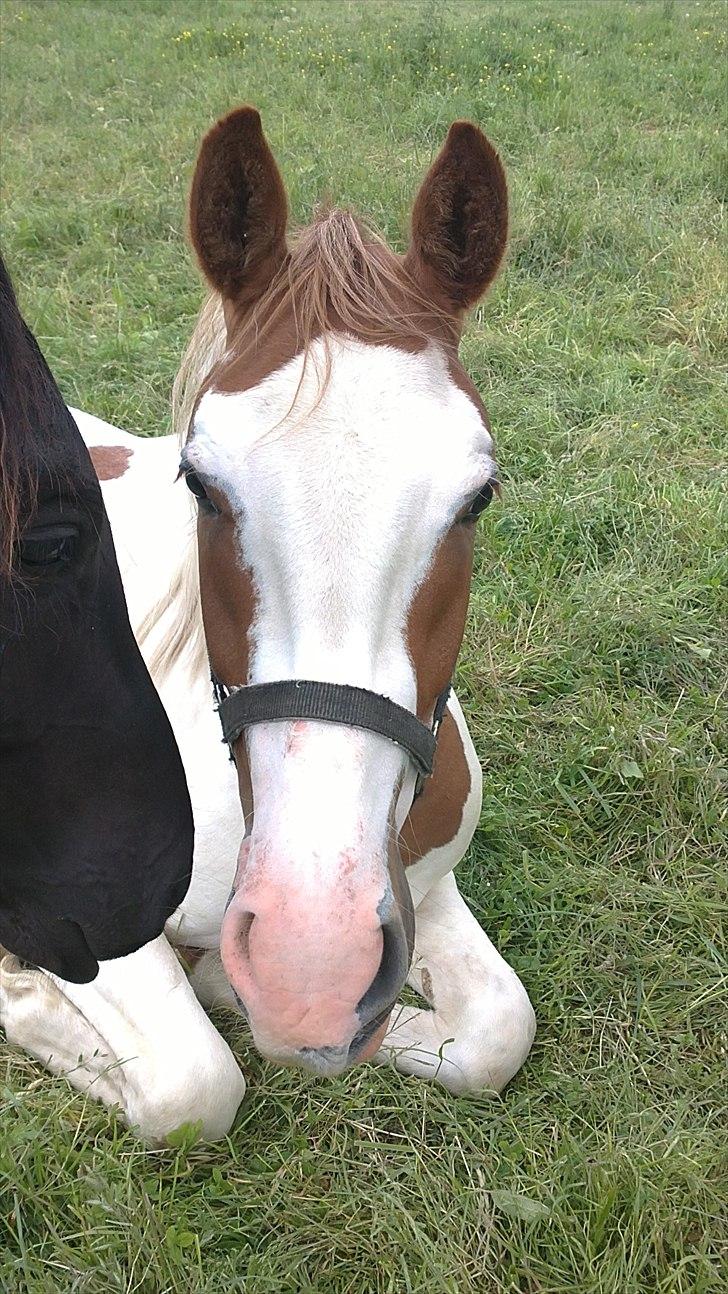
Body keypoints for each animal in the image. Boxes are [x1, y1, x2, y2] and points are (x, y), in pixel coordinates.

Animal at [4, 113, 535, 1133]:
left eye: (478, 497)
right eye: (201, 483)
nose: (309, 961)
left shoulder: (422, 876)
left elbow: (496, 1032)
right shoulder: (93, 913)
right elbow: (192, 1087)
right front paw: (23, 993)